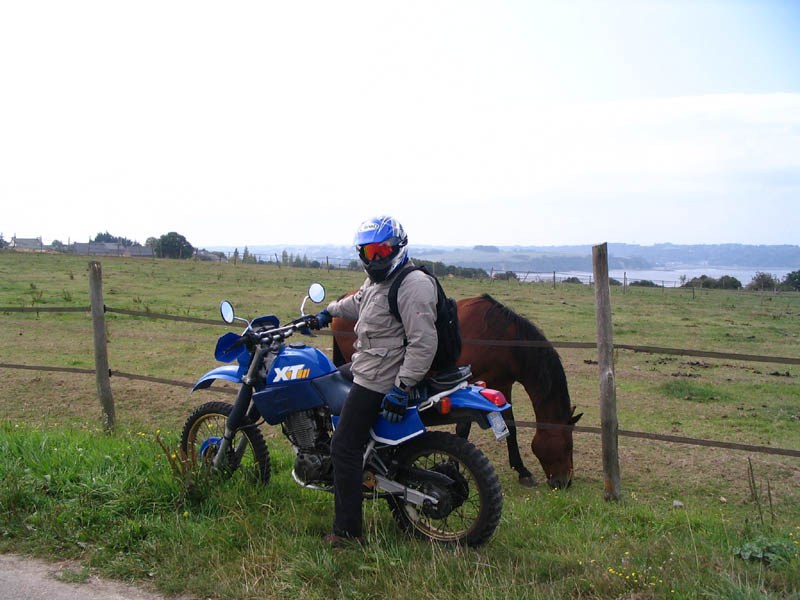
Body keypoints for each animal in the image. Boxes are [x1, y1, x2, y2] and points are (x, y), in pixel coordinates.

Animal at [330, 292, 580, 490]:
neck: (503, 341)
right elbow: (466, 428)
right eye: (568, 445)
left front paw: (521, 470)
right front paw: (454, 465)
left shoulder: (501, 385)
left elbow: (509, 426)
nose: (564, 482)